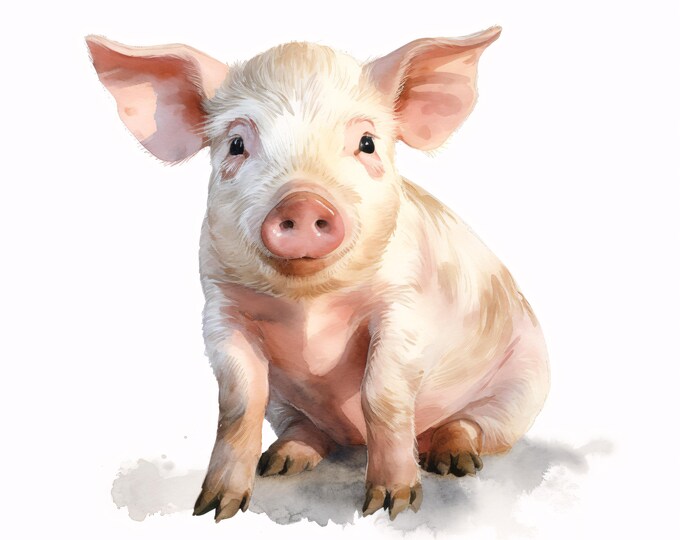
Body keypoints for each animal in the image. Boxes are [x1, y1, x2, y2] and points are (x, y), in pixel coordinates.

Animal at [86, 27, 549, 522]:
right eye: (236, 144)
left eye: (366, 143)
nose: (303, 202)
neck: (309, 300)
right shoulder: (221, 310)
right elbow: (238, 403)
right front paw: (214, 508)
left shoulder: (404, 305)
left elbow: (382, 394)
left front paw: (393, 505)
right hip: (286, 404)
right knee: (307, 429)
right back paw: (282, 461)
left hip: (524, 389)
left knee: (471, 425)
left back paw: (452, 462)